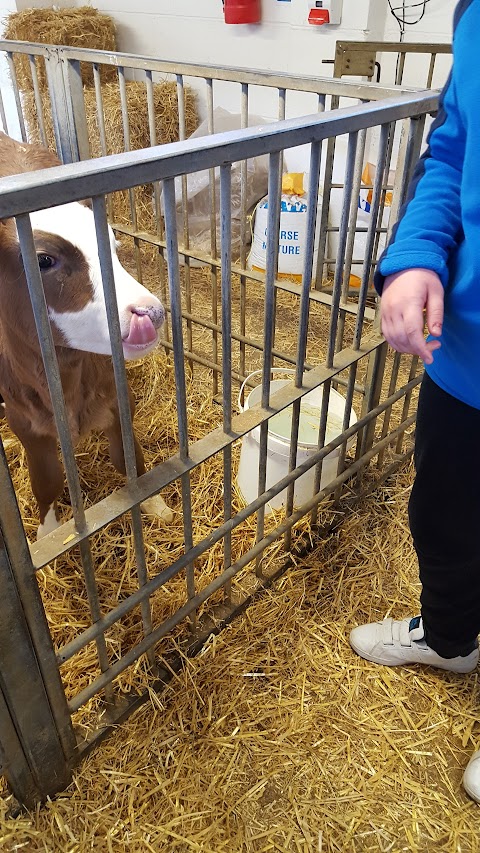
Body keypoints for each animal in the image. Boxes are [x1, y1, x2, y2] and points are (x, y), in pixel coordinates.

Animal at [0, 133, 172, 540]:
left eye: (112, 246)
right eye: (43, 260)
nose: (151, 312)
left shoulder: (114, 392)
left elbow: (128, 456)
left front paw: (156, 504)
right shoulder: (22, 418)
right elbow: (46, 481)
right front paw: (48, 535)